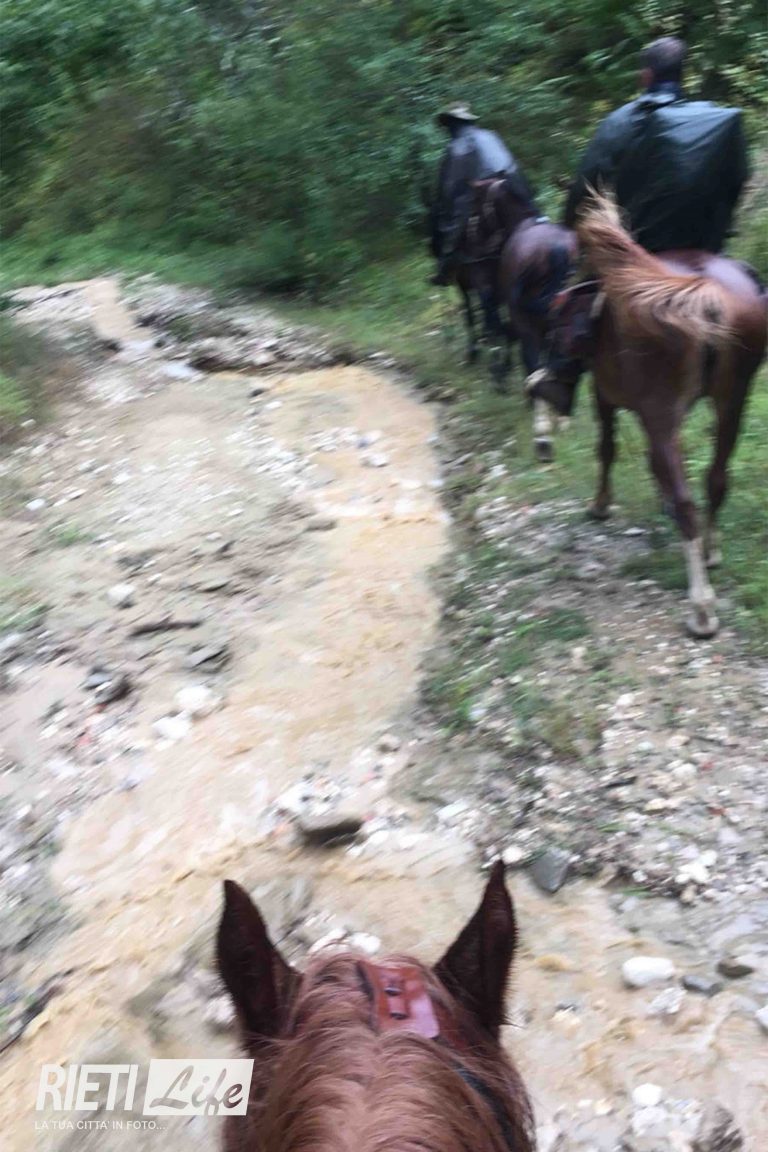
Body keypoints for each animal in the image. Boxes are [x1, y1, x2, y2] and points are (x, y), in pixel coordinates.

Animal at [577, 194, 767, 638]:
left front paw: (601, 504)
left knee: (687, 501)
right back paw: (711, 552)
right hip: (734, 399)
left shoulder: (604, 394)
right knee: (717, 479)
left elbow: (606, 447)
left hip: (663, 412)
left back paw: (701, 608)